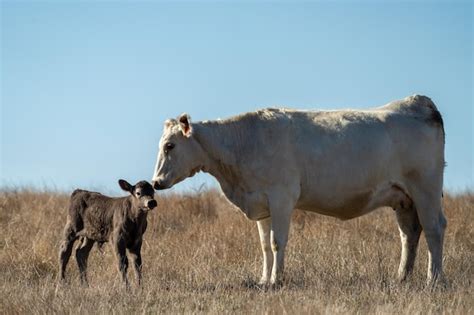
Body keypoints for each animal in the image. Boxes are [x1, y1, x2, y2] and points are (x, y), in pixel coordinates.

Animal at [153, 95, 448, 288]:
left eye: (170, 145)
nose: (155, 182)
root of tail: (418, 102)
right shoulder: (261, 204)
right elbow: (264, 246)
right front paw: (264, 279)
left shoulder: (282, 197)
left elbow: (277, 241)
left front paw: (277, 280)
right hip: (403, 199)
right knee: (409, 233)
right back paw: (402, 277)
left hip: (426, 188)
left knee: (434, 228)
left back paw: (433, 278)